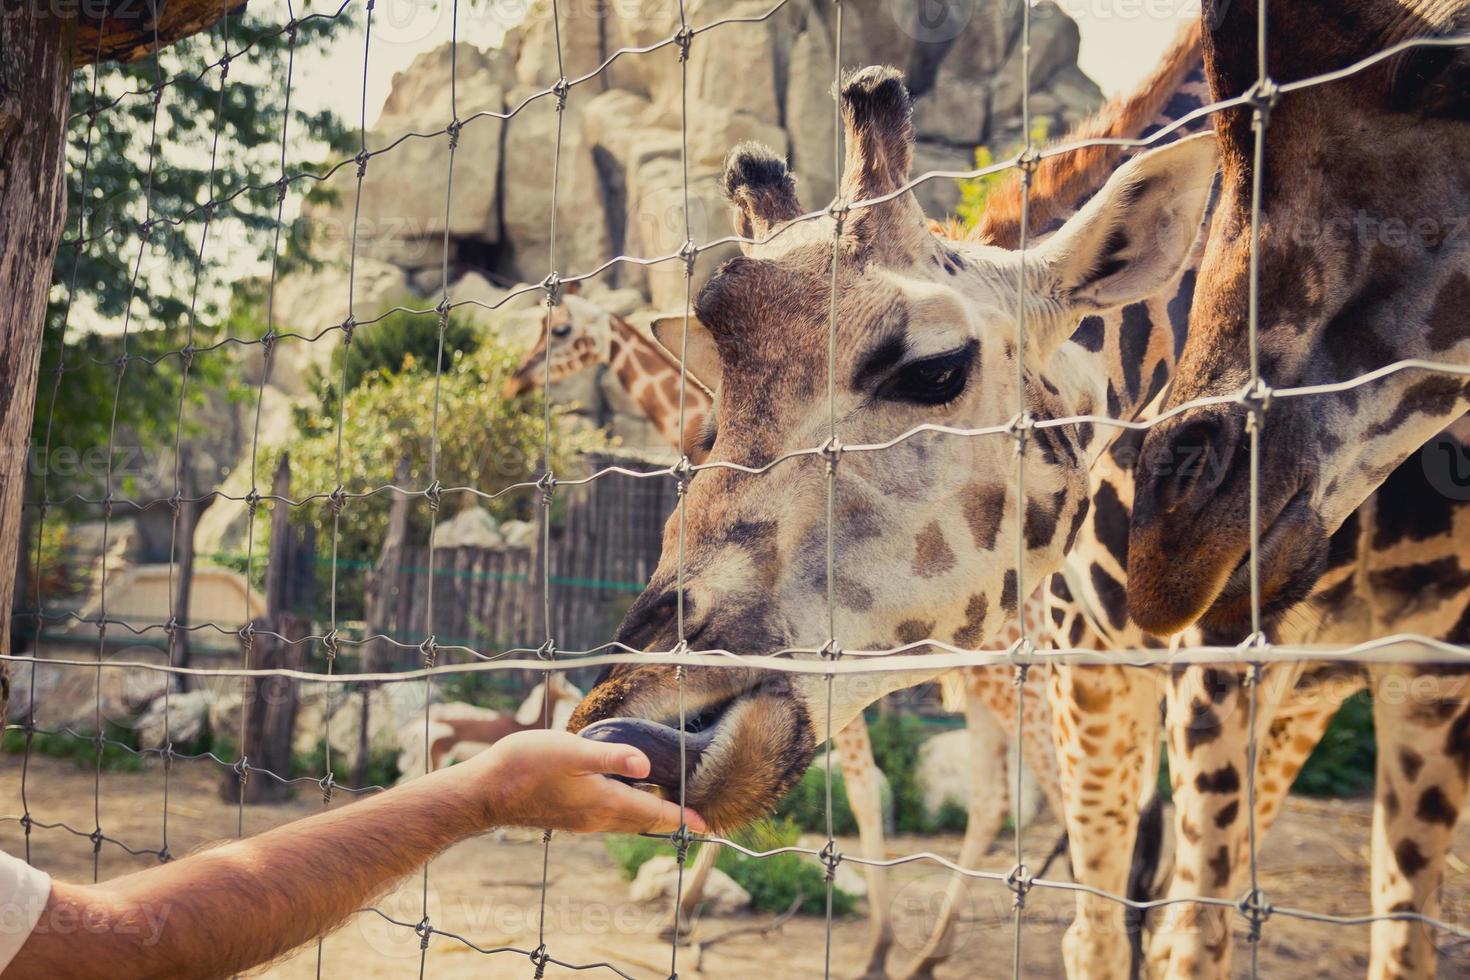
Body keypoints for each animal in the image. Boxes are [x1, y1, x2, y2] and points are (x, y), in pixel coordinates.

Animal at [508, 282, 1070, 975]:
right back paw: (936, 950)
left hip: (1014, 683)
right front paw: (685, 913)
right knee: (999, 798)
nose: (516, 379)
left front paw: (875, 947)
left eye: (559, 330)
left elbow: (857, 790)